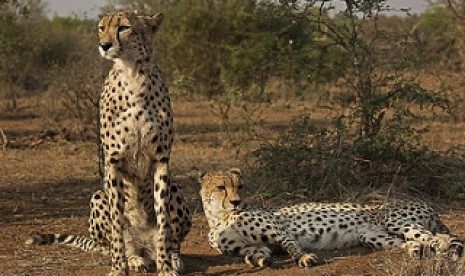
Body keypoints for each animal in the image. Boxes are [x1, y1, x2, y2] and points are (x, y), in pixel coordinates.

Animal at [198, 168, 462, 268]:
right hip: (372, 236)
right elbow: (256, 253)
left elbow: (291, 244)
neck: (220, 217)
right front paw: (257, 261)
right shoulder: (253, 246)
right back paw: (416, 250)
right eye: (221, 187)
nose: (237, 201)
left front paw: (305, 258)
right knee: (414, 241)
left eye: (240, 186)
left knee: (437, 237)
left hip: (392, 219)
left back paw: (445, 250)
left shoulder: (279, 232)